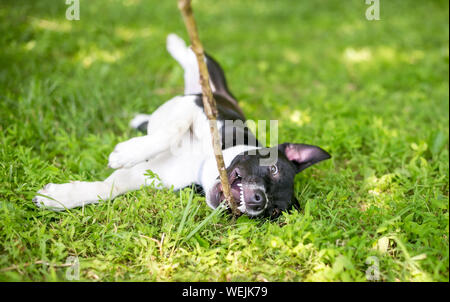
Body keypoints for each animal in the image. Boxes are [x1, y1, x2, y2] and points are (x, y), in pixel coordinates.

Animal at [33, 33, 330, 217]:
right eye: (273, 168)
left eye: (273, 212)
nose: (260, 201)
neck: (202, 165)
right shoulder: (196, 108)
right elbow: (170, 132)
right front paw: (126, 152)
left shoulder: (147, 177)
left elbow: (106, 189)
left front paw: (60, 197)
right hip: (206, 79)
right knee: (195, 57)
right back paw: (176, 43)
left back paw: (140, 120)